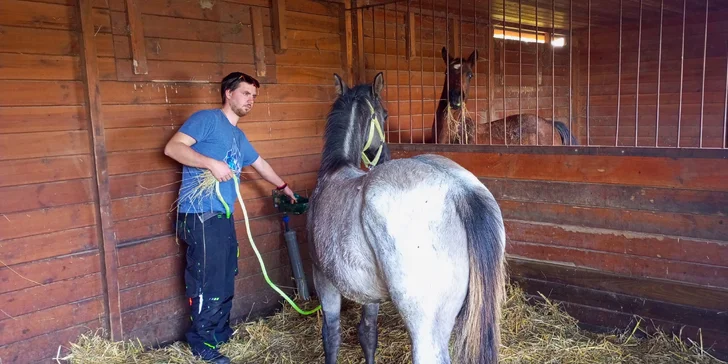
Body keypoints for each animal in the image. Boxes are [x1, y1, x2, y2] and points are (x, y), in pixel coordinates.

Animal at [308, 72, 506, 364]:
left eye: (386, 114)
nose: (385, 156)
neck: (336, 169)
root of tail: (459, 189)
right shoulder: (369, 295)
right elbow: (368, 334)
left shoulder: (324, 279)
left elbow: (331, 336)